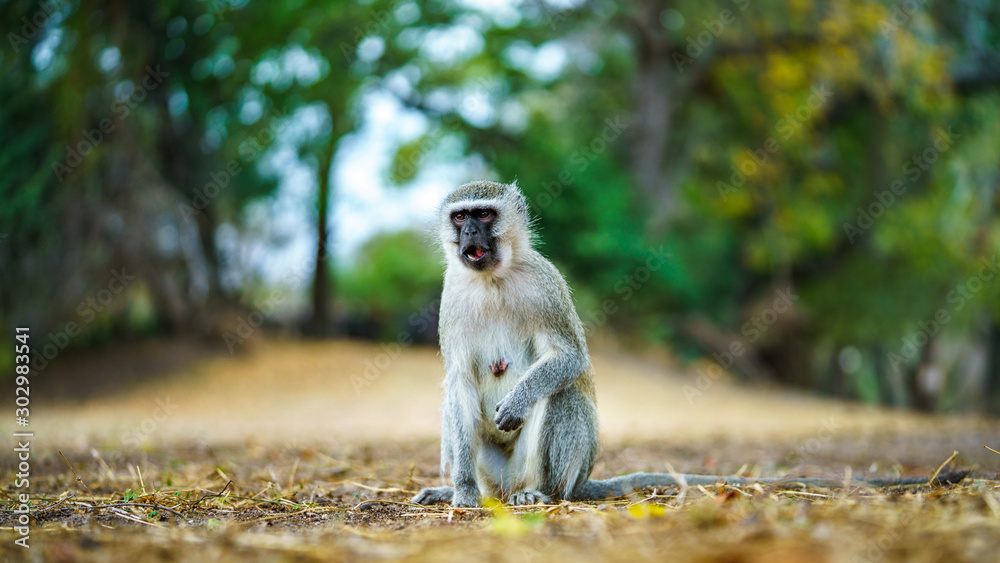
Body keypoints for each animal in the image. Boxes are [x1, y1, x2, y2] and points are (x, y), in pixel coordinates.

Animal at [411, 180, 968, 507]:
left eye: (484, 214)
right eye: (460, 217)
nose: (469, 237)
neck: (494, 279)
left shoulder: (547, 286)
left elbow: (568, 359)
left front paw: (519, 400)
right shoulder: (451, 299)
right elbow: (458, 383)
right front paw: (459, 490)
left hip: (556, 470)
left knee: (563, 396)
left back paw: (540, 494)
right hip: (494, 470)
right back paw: (462, 487)